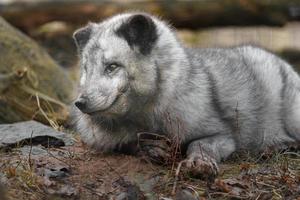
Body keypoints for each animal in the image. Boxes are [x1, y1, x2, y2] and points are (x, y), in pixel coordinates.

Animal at [72, 12, 300, 177]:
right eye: (86, 69)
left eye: (112, 66)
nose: (80, 103)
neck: (148, 114)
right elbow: (128, 143)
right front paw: (151, 147)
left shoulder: (223, 135)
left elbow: (199, 144)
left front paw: (199, 163)